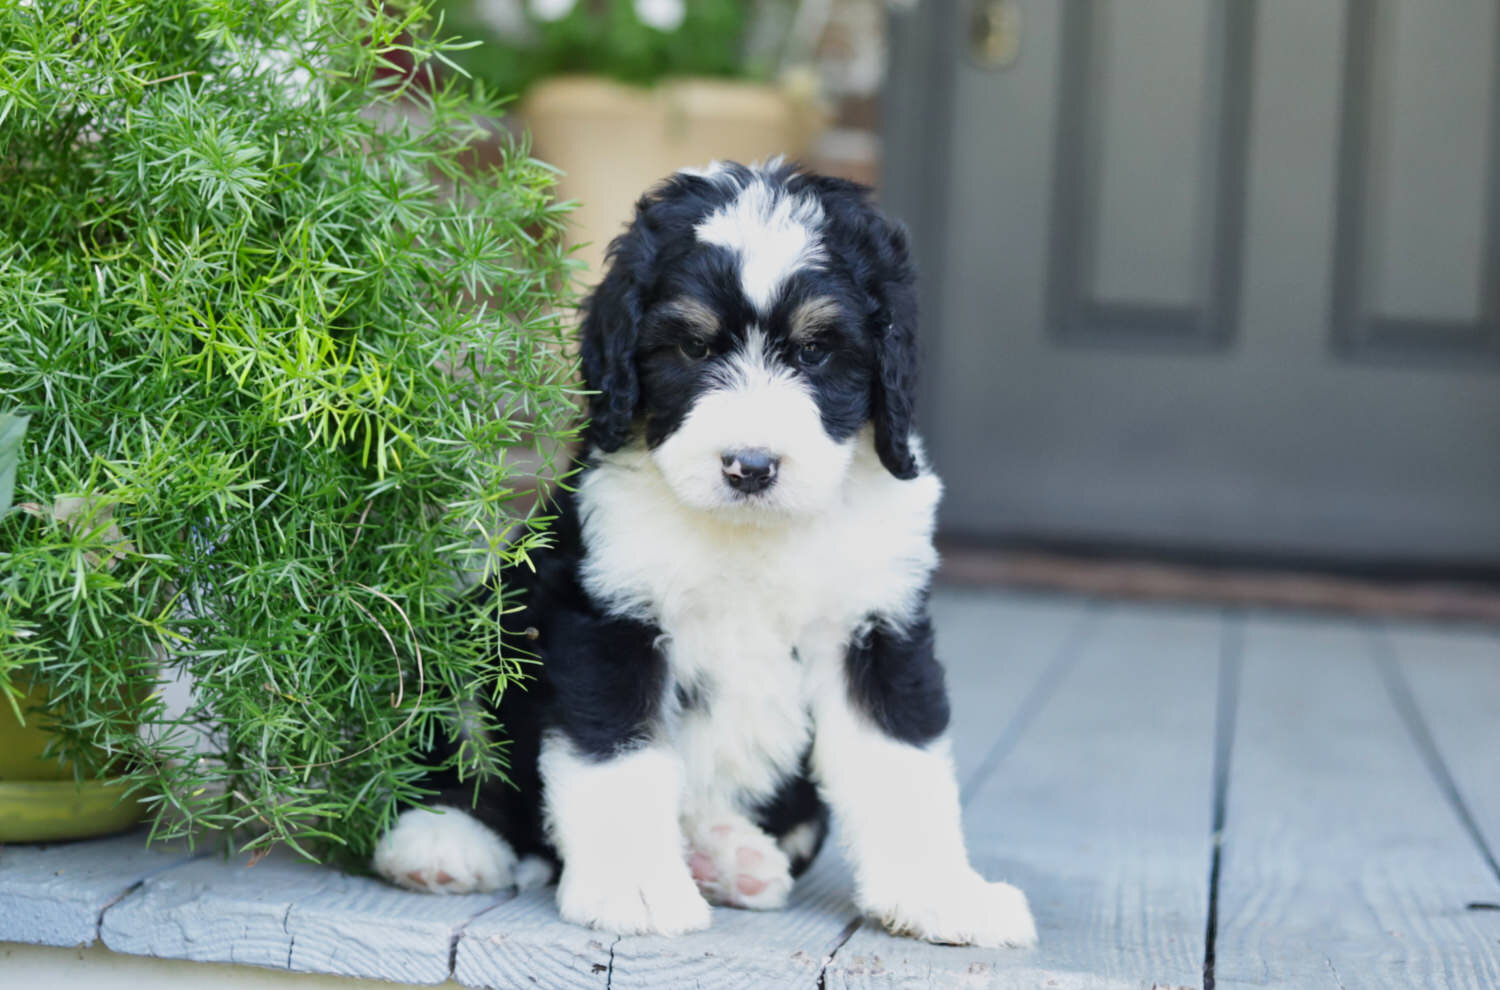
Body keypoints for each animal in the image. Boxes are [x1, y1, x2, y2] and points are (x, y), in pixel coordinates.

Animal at [369, 158, 1038, 948]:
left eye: (815, 350)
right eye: (694, 348)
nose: (750, 466)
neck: (752, 533)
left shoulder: (877, 630)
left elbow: (902, 766)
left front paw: (942, 897)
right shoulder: (609, 619)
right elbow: (618, 759)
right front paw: (634, 888)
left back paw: (722, 856)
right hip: (475, 638)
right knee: (459, 757)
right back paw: (441, 843)